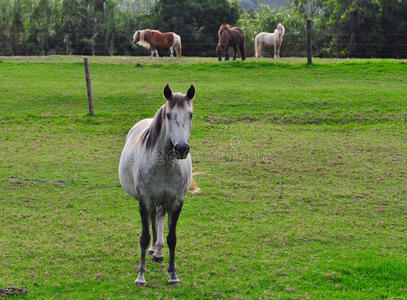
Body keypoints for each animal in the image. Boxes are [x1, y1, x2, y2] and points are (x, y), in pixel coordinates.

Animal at [118, 84, 196, 286]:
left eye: (191, 114)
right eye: (168, 115)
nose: (181, 149)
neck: (165, 166)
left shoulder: (176, 202)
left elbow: (172, 238)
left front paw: (173, 275)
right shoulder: (144, 201)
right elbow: (144, 238)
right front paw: (140, 276)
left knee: (159, 217)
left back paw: (158, 251)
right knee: (154, 218)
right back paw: (154, 250)